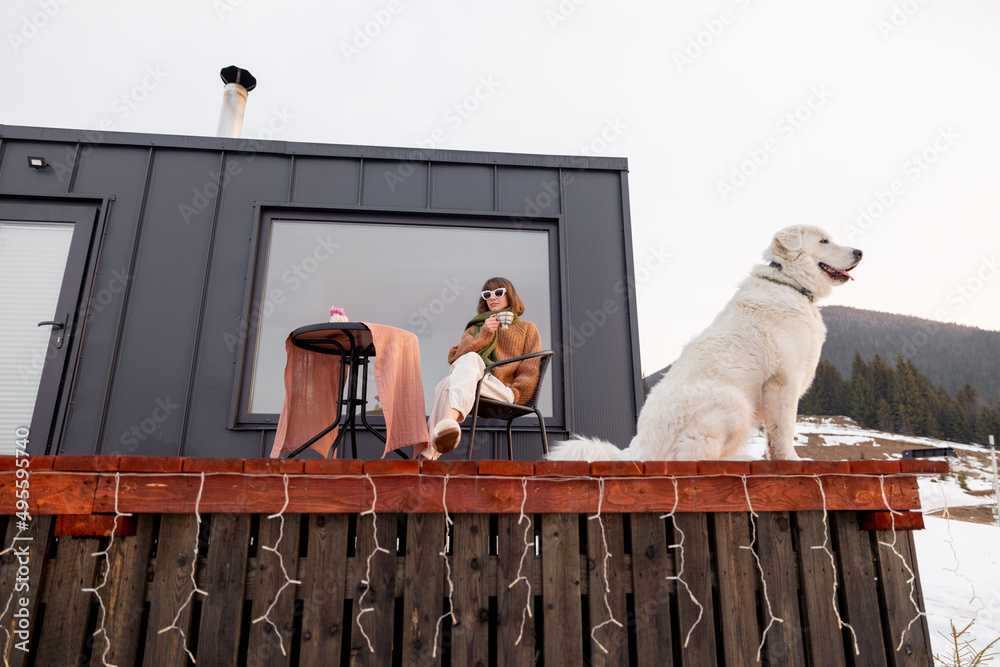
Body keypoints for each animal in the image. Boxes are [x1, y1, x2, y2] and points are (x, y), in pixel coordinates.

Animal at [548, 227, 860, 462]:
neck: (788, 283)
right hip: (735, 402)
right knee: (694, 457)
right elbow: (783, 430)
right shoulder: (783, 381)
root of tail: (637, 450)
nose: (860, 252)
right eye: (824, 241)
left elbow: (774, 434)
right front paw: (792, 460)